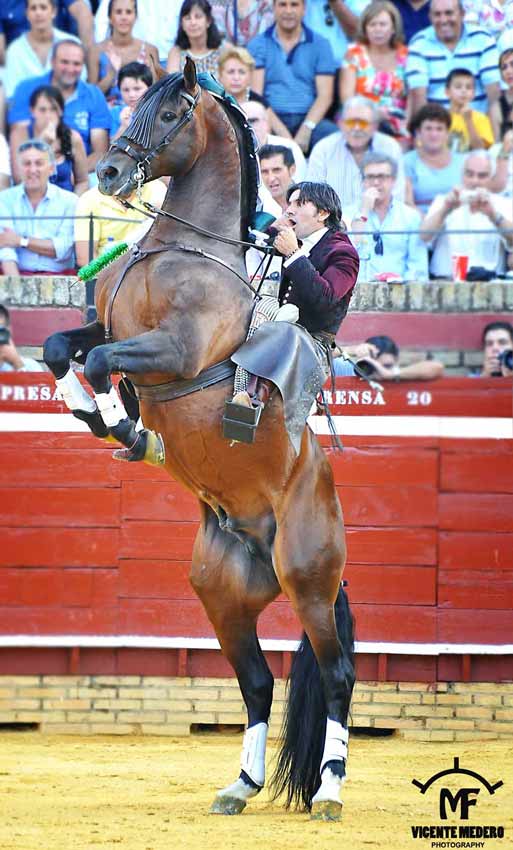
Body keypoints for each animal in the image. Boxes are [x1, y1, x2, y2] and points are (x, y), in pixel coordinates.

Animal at [44, 58, 354, 816]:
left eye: (170, 113)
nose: (109, 174)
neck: (178, 249)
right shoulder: (109, 325)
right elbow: (60, 347)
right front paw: (99, 418)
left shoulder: (175, 351)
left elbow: (99, 361)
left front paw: (128, 428)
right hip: (221, 595)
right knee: (257, 682)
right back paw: (239, 785)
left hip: (308, 582)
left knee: (335, 675)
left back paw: (330, 791)